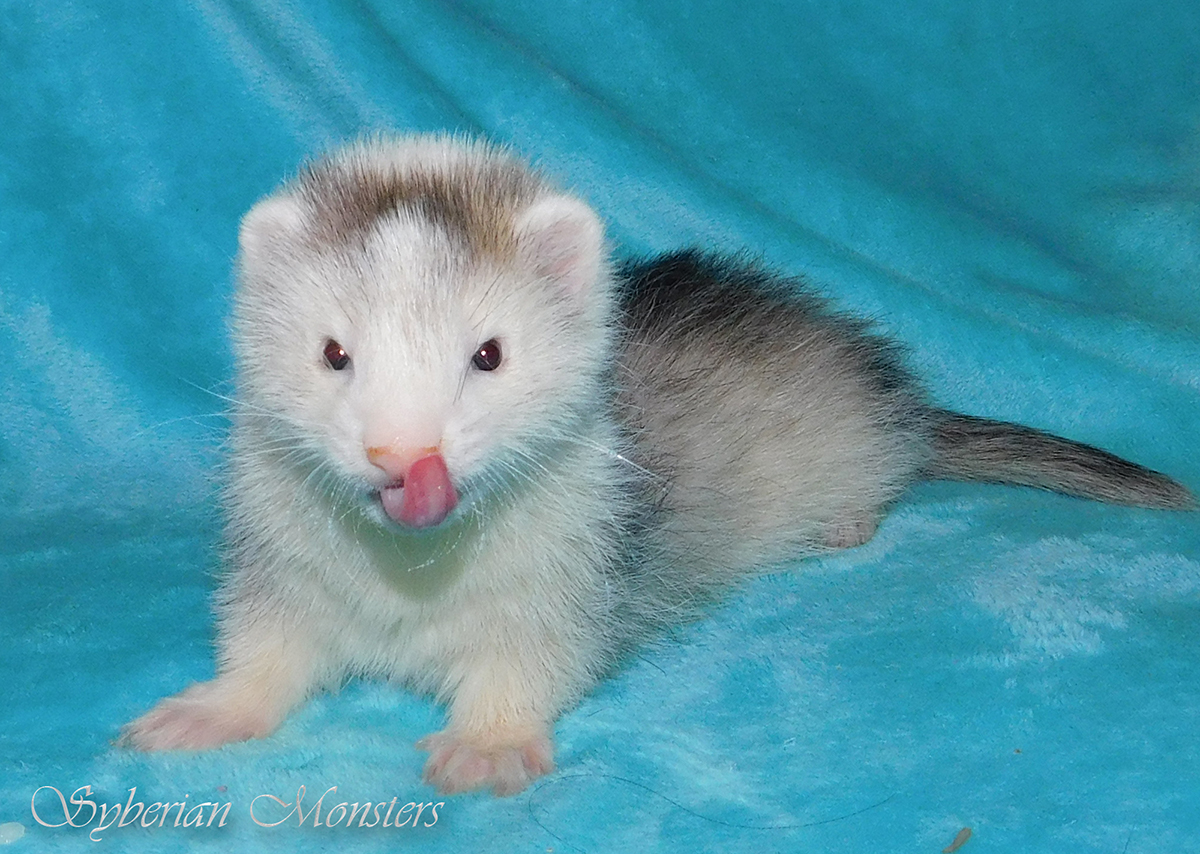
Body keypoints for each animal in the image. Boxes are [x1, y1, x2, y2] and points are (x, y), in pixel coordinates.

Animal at [121, 134, 1193, 796]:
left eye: (489, 353)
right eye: (334, 351)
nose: (406, 456)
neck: (408, 598)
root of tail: (897, 401)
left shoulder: (570, 586)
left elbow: (532, 668)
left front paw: (485, 747)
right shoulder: (278, 577)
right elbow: (262, 656)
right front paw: (199, 715)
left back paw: (846, 522)